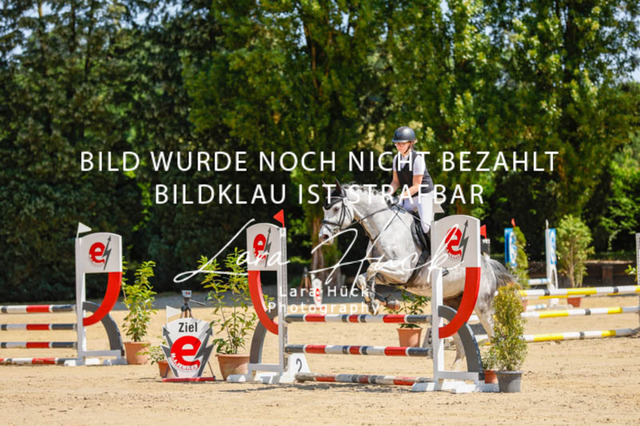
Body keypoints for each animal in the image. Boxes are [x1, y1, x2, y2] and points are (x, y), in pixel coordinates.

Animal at [318, 182, 514, 367]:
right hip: (452, 302)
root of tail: (487, 264)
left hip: (482, 306)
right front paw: (379, 302)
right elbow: (362, 278)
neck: (384, 228)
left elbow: (372, 269)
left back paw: (503, 367)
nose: (323, 236)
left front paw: (379, 302)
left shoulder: (402, 271)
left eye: (336, 209)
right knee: (461, 342)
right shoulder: (389, 276)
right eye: (324, 209)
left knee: (496, 335)